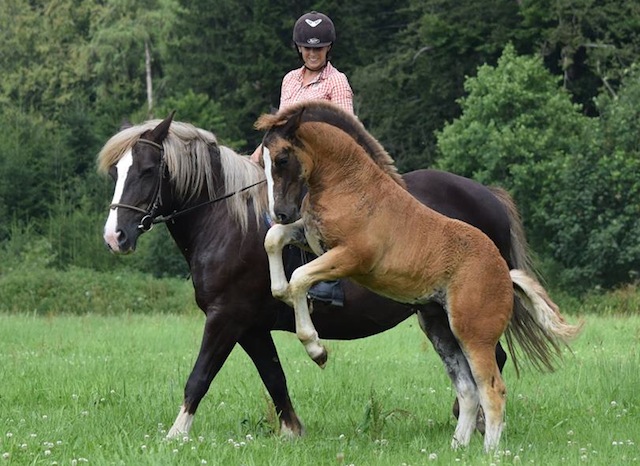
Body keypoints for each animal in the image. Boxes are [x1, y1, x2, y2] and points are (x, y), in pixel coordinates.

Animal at [97, 112, 548, 440]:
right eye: (117, 171)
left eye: (149, 170)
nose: (115, 236)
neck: (227, 220)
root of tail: (489, 195)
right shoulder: (251, 328)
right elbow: (274, 377)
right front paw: (292, 432)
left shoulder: (226, 319)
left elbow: (199, 377)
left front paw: (175, 436)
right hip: (434, 312)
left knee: (491, 362)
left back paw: (473, 422)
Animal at [254, 101, 580, 452]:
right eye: (262, 162)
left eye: (282, 159)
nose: (280, 212)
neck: (350, 185)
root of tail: (503, 273)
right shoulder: (311, 238)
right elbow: (273, 240)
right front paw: (279, 290)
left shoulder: (351, 257)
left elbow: (300, 277)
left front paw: (316, 348)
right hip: (440, 332)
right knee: (468, 390)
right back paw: (456, 447)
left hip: (473, 335)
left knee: (492, 389)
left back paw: (489, 451)